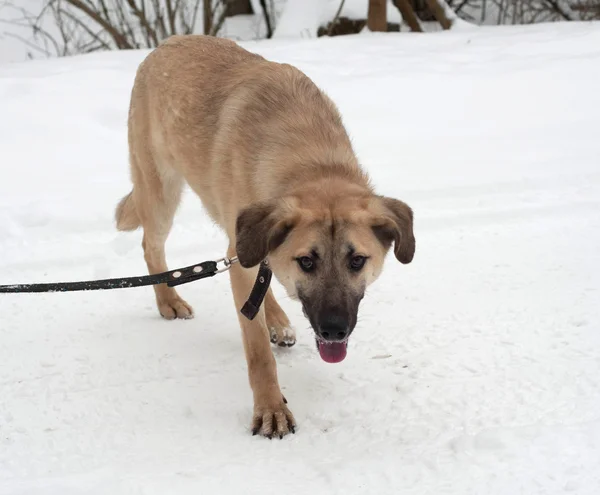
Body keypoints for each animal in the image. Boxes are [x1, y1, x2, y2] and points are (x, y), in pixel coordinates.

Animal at [116, 34, 418, 438]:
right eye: (307, 261)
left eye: (357, 260)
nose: (335, 331)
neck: (311, 162)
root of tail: (167, 42)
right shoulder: (240, 259)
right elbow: (257, 351)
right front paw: (271, 409)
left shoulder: (249, 245)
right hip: (161, 191)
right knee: (151, 246)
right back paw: (169, 301)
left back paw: (276, 319)